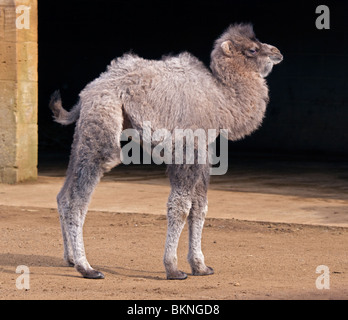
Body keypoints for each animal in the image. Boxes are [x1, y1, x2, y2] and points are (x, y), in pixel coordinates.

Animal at [49, 23, 282, 278]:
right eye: (252, 49)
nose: (277, 52)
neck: (219, 99)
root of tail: (88, 91)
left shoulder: (203, 154)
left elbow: (200, 207)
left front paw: (200, 266)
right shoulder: (187, 150)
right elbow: (180, 207)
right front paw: (173, 268)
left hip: (84, 132)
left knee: (63, 194)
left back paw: (70, 258)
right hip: (103, 120)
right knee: (79, 197)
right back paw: (87, 268)